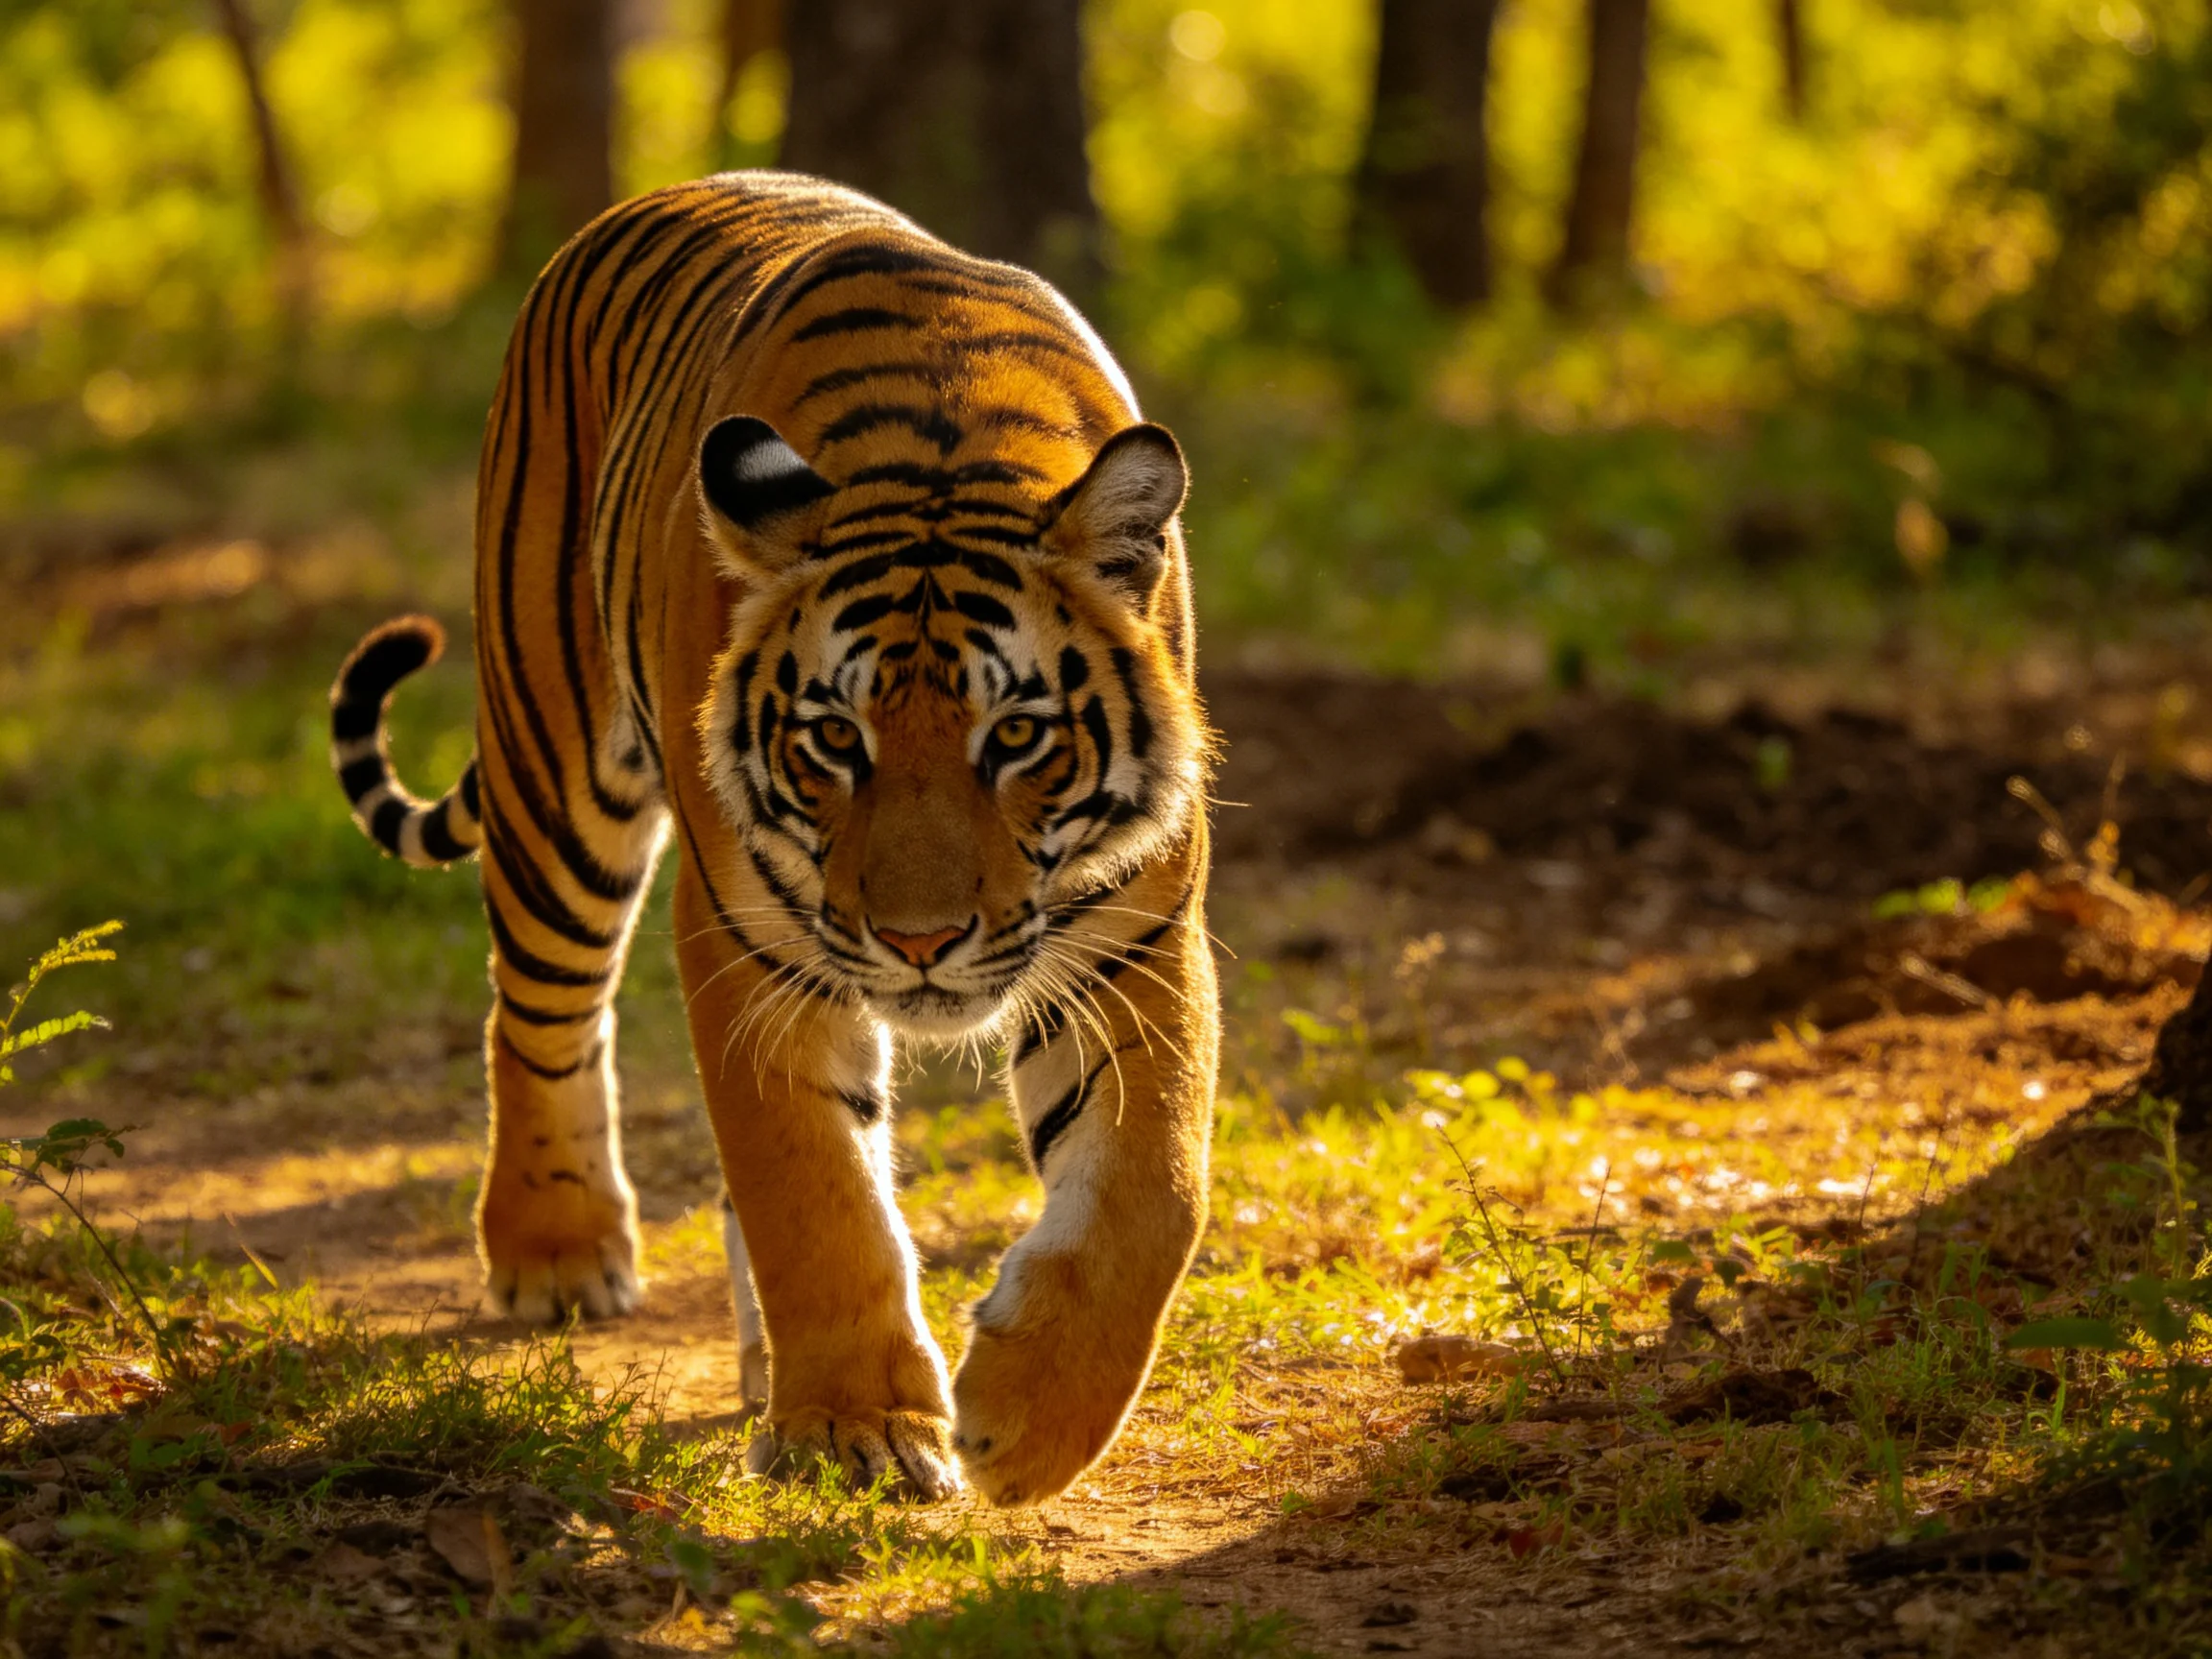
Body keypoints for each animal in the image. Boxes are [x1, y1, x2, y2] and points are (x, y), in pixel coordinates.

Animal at [326, 172, 1218, 1506]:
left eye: (1016, 735)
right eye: (835, 738)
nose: (919, 943)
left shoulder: (1133, 937)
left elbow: (1152, 1187)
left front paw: (1026, 1424)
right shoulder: (755, 942)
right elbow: (812, 1191)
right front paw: (857, 1428)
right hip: (557, 777)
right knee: (536, 1015)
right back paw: (557, 1250)